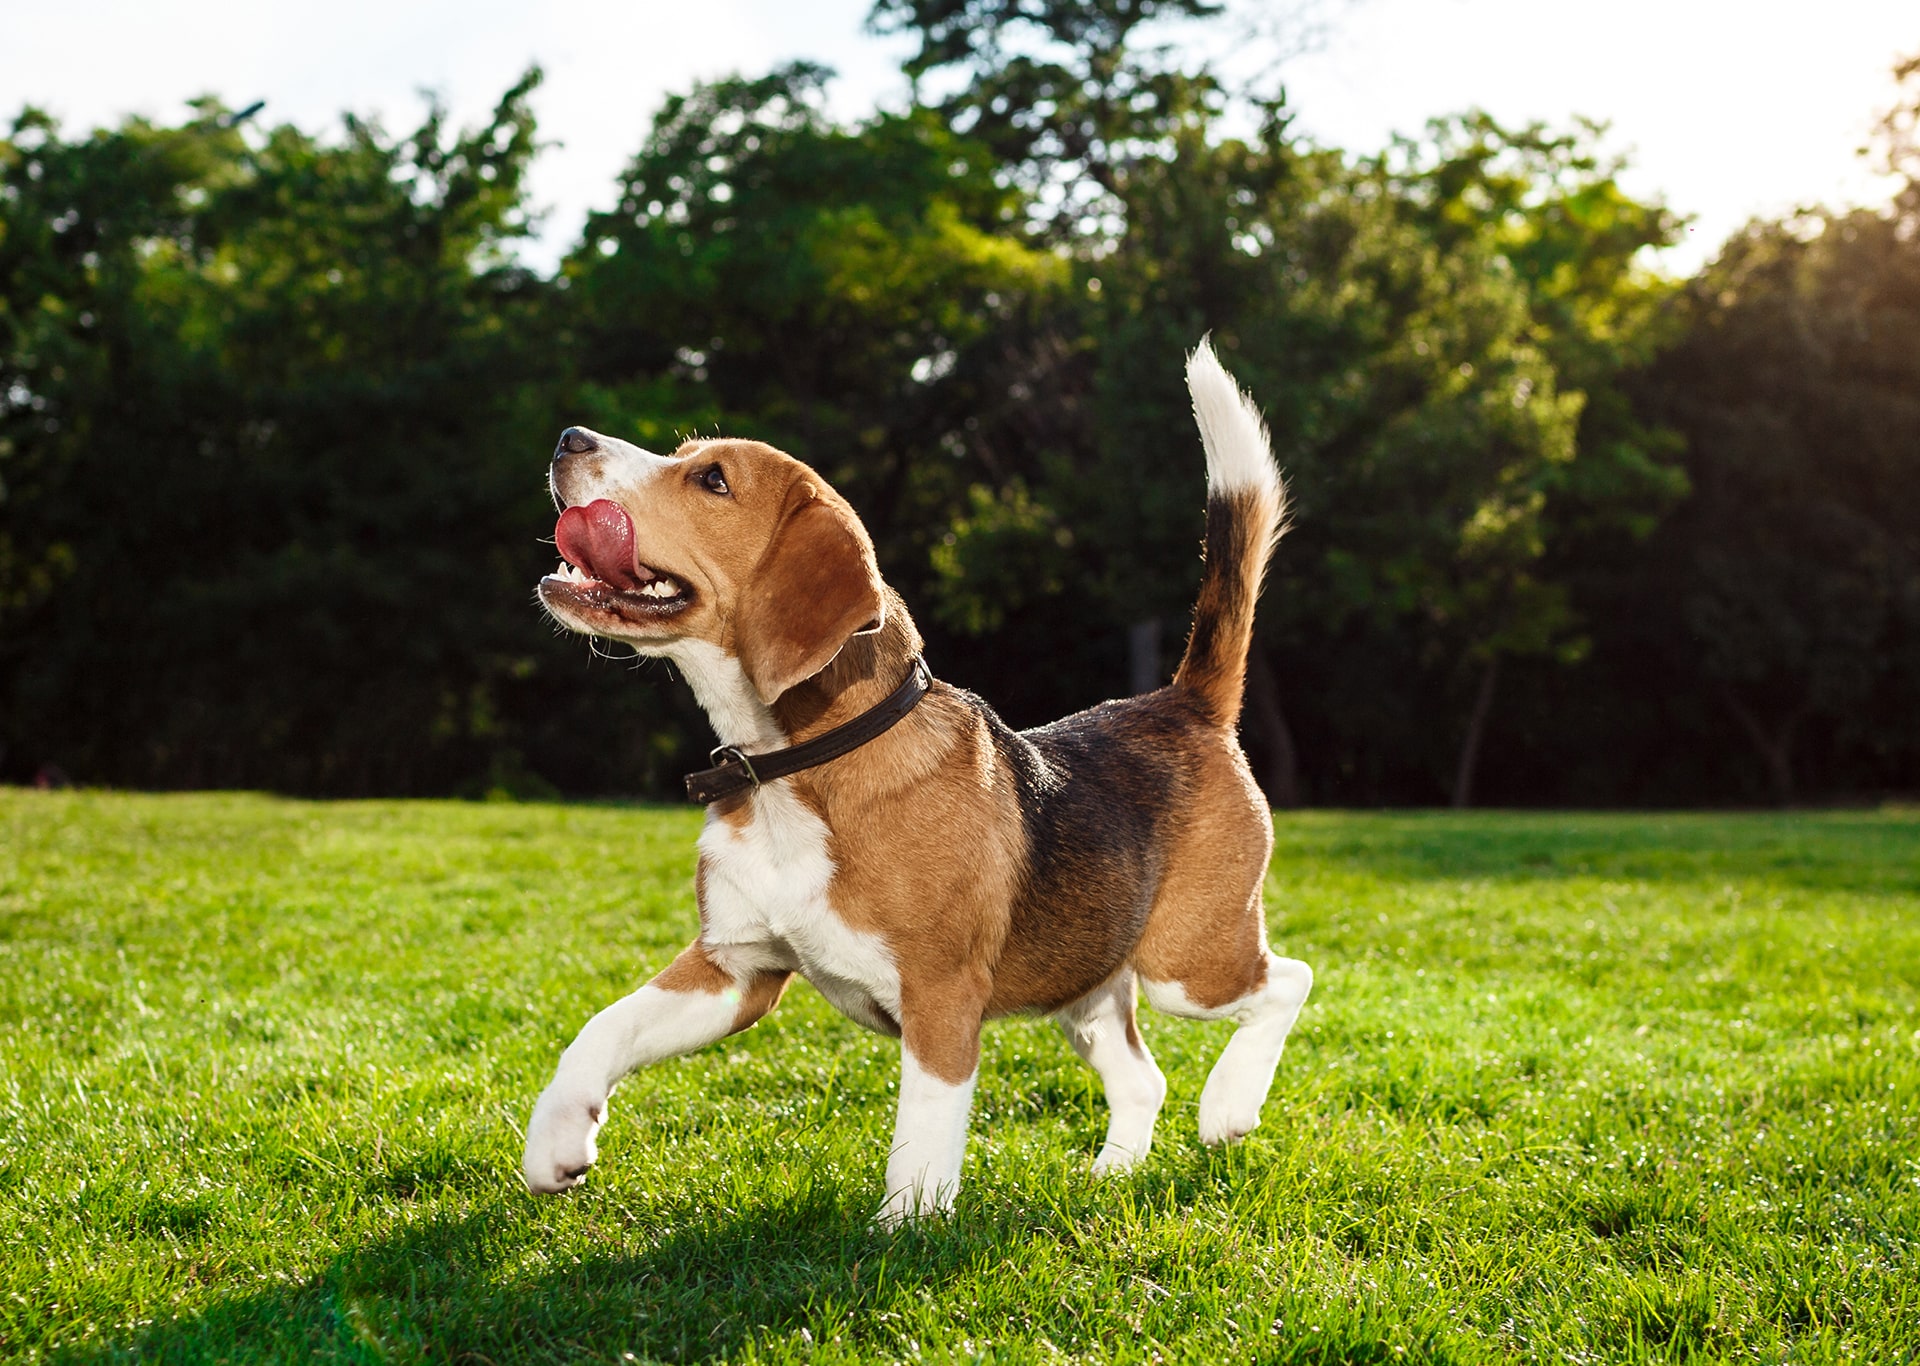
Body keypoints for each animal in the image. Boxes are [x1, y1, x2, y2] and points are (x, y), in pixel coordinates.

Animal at [518, 343, 1313, 1229]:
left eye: (712, 480)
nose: (568, 437)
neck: (794, 771)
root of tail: (1182, 702)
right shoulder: (735, 968)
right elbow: (602, 1027)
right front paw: (556, 1141)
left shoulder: (940, 998)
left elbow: (922, 1137)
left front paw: (905, 1233)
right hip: (1086, 986)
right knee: (1143, 1077)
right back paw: (1111, 1175)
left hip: (1189, 964)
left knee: (1289, 982)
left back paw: (1230, 1106)